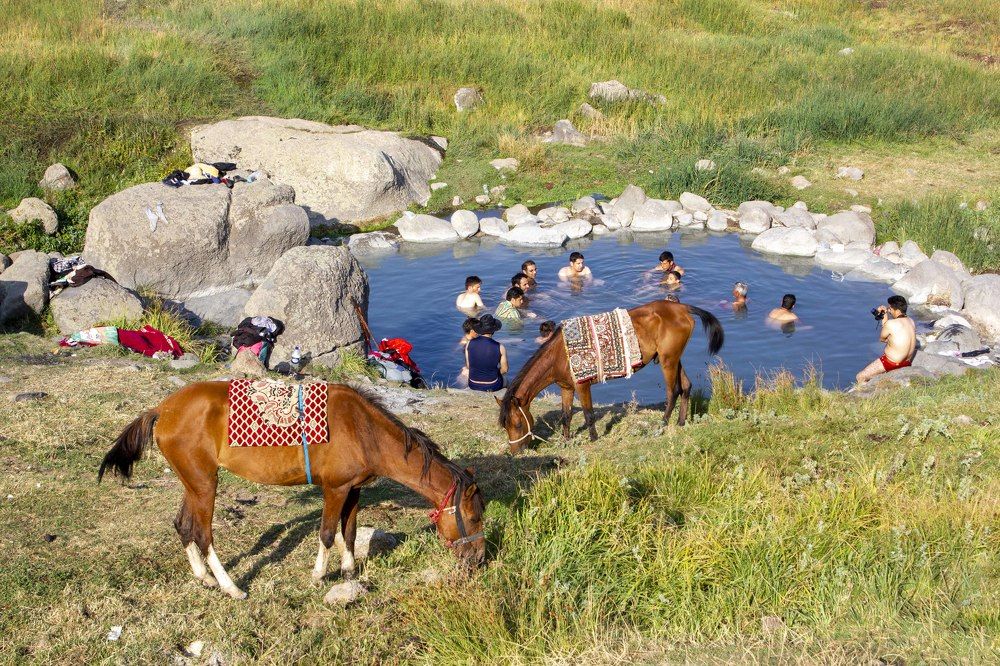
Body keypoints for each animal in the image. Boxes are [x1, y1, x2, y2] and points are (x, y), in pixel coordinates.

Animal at [98, 381, 486, 600]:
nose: (479, 559)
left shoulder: (353, 491)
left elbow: (349, 531)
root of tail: (162, 409)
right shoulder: (335, 489)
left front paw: (348, 571)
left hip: (194, 482)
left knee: (183, 525)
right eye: (474, 517)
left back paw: (203, 578)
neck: (363, 430)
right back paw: (230, 587)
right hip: (205, 485)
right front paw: (318, 575)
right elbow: (328, 533)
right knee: (204, 535)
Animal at [498, 300, 724, 452]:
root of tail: (682, 308)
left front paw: (593, 438)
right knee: (686, 386)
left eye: (517, 424)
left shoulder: (582, 385)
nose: (515, 452)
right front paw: (566, 441)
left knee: (673, 390)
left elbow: (588, 414)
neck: (559, 354)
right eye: (505, 426)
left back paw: (663, 424)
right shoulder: (566, 387)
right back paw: (681, 422)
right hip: (674, 358)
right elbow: (566, 415)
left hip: (668, 361)